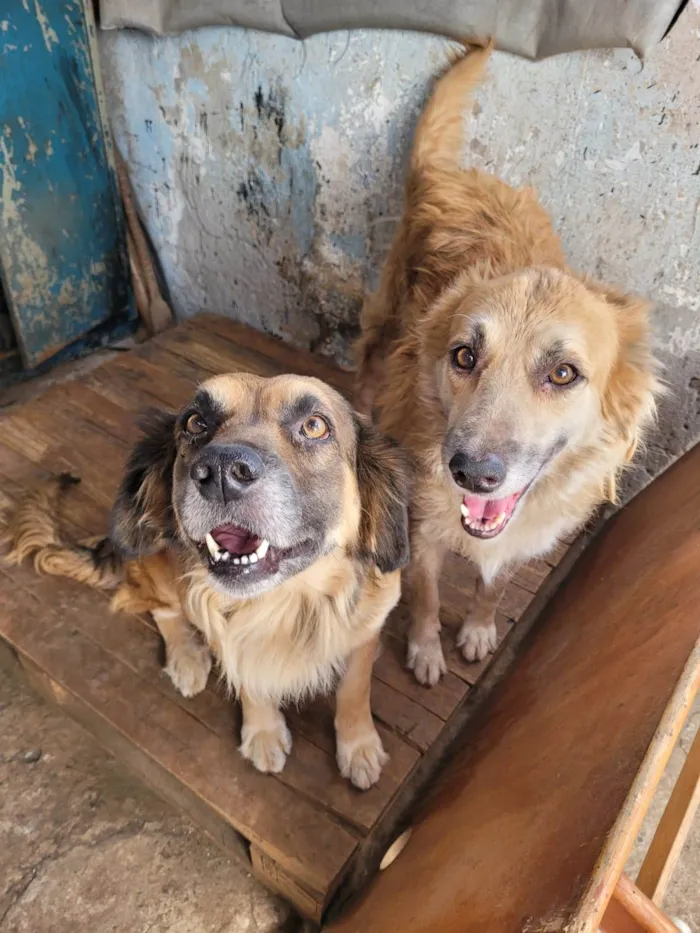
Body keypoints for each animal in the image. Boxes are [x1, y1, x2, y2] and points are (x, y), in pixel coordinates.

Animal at [5, 372, 410, 788]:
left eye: (314, 426)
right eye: (195, 422)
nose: (220, 473)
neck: (284, 603)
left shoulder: (367, 631)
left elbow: (354, 690)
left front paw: (358, 746)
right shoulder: (222, 628)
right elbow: (247, 677)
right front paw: (262, 731)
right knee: (164, 609)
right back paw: (186, 657)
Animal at [356, 43, 660, 684]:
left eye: (563, 373)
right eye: (464, 356)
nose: (471, 473)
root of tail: (453, 173)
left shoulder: (523, 536)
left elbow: (492, 588)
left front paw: (477, 630)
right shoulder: (425, 533)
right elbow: (426, 597)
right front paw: (425, 650)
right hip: (383, 322)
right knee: (364, 374)